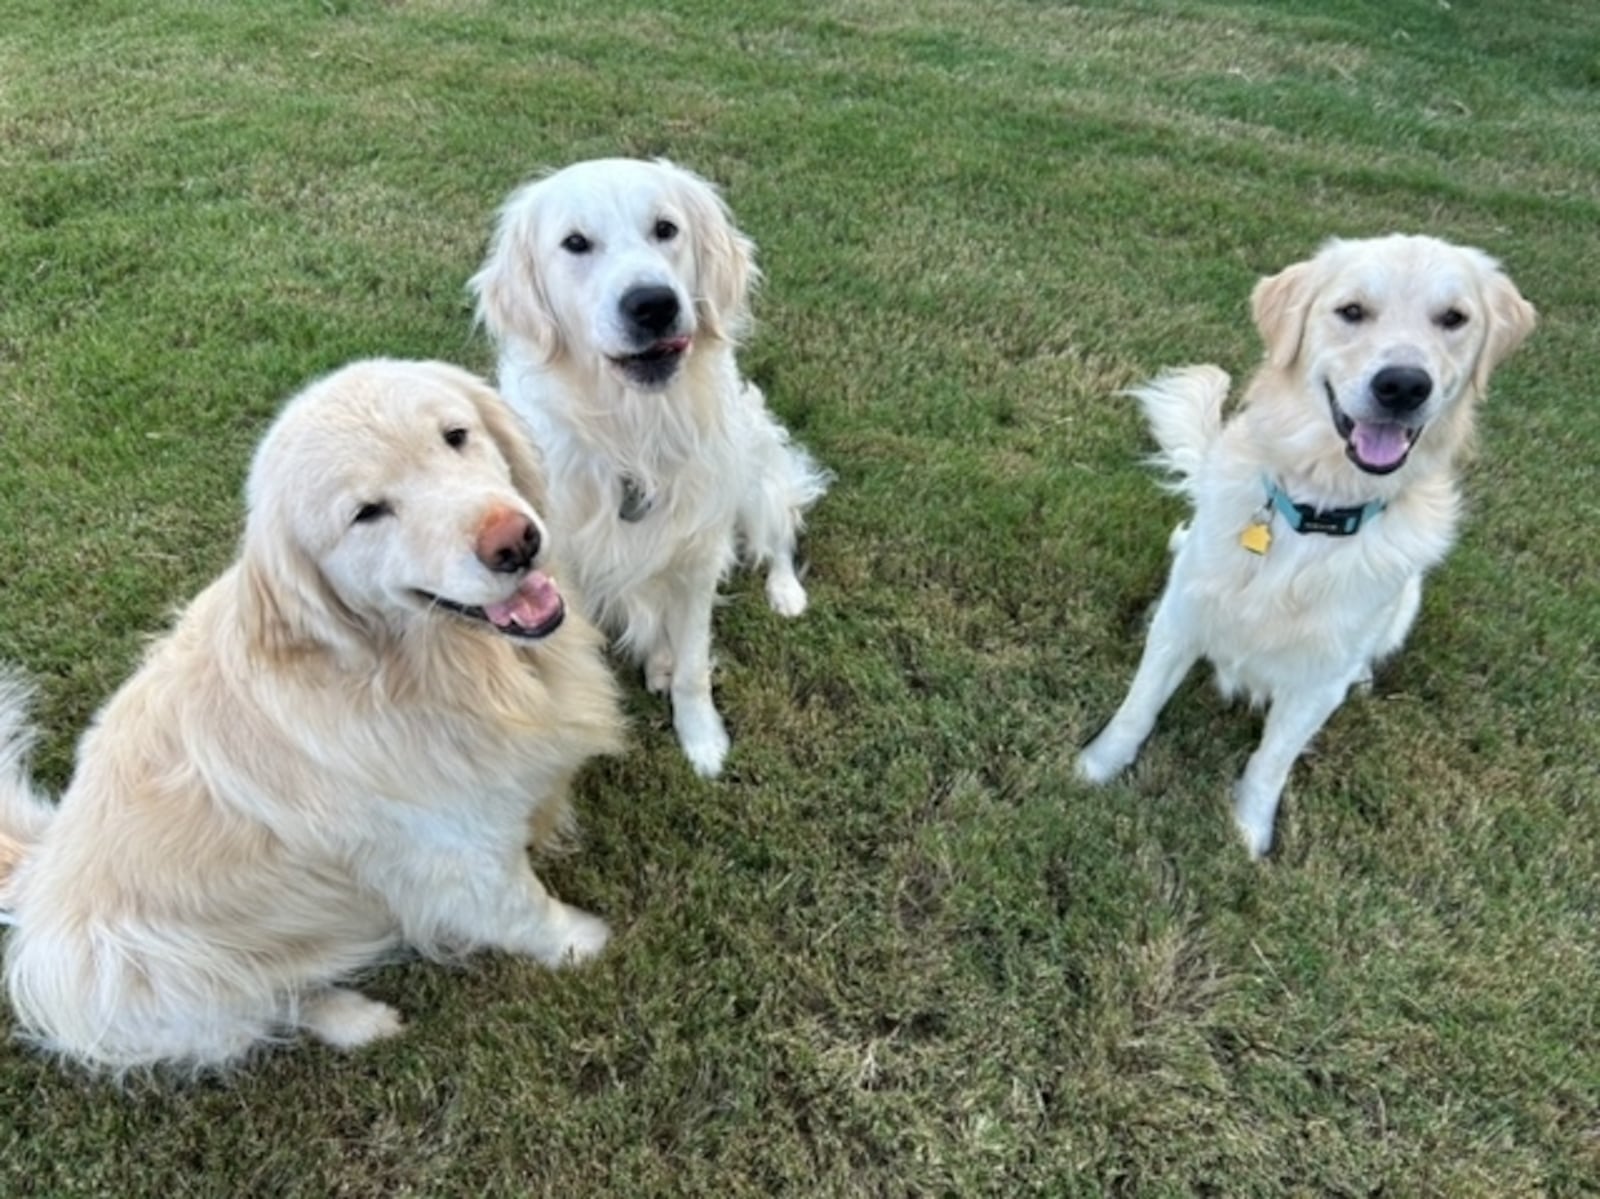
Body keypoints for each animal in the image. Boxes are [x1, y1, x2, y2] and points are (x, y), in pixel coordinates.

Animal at [0, 360, 624, 1069]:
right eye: (366, 513)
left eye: (456, 435)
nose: (514, 543)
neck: (426, 670)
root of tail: (34, 878)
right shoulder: (458, 860)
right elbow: (523, 910)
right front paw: (581, 943)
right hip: (163, 975)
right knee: (275, 1004)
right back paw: (358, 1018)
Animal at [467, 156, 832, 777]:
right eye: (575, 243)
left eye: (666, 229)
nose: (653, 304)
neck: (634, 434)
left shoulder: (698, 557)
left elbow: (693, 667)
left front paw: (704, 741)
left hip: (756, 480)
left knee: (780, 536)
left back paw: (785, 593)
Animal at [1075, 233, 1536, 858]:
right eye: (1351, 311)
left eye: (1453, 319)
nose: (1403, 385)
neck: (1316, 511)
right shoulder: (1186, 615)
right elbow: (1137, 708)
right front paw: (1094, 769)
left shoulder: (1319, 682)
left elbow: (1273, 761)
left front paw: (1248, 835)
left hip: (1406, 600)